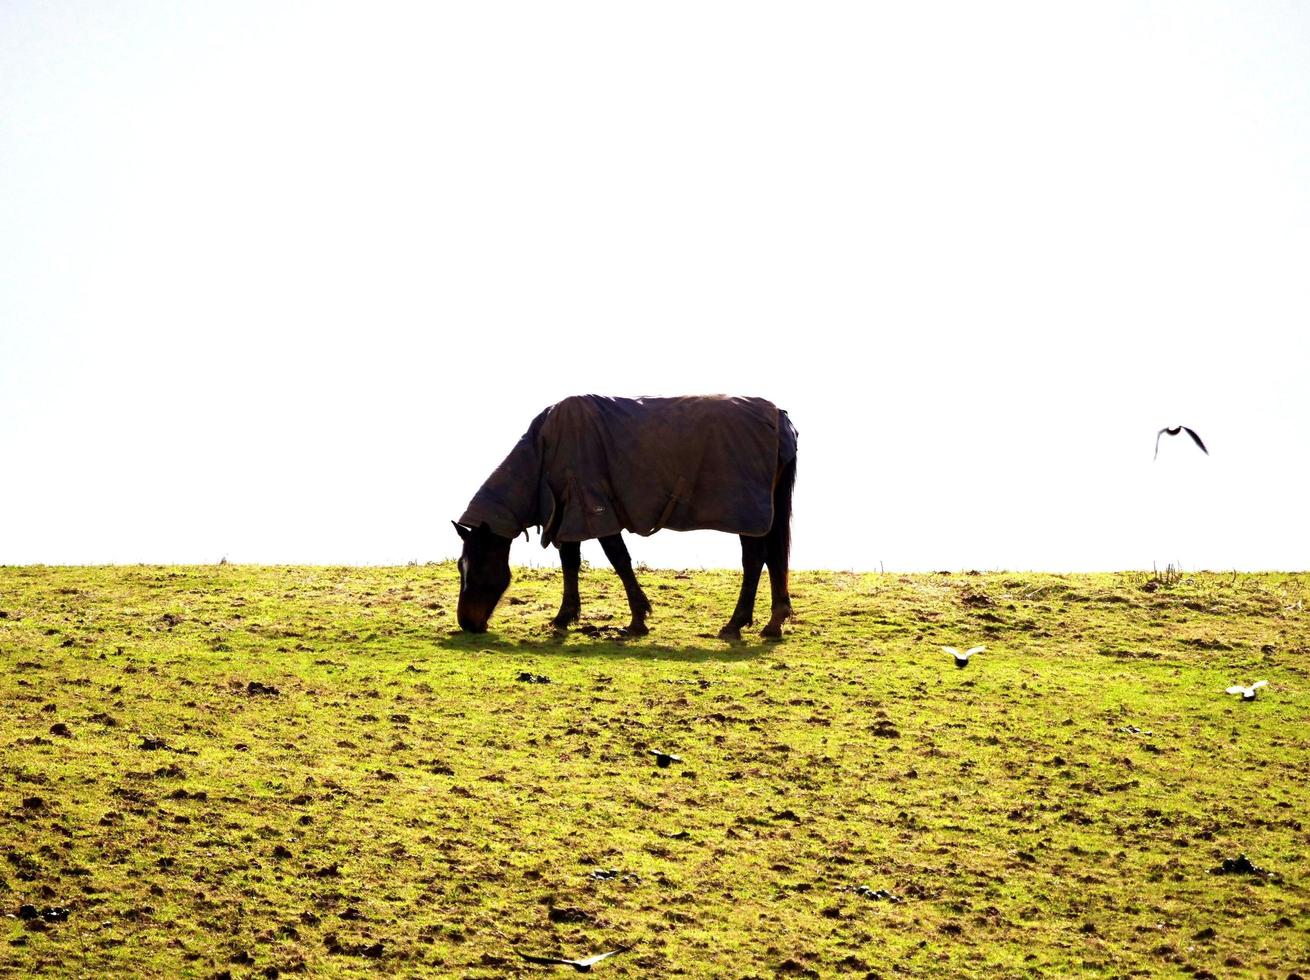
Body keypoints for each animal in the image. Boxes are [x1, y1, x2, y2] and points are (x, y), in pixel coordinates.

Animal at [450, 393, 796, 639]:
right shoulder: (570, 512)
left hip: (748, 516)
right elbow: (571, 563)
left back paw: (736, 623)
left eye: (477, 566)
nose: (467, 622)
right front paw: (565, 616)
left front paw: (638, 619)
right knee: (773, 558)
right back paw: (772, 623)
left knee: (755, 560)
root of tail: (780, 419)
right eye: (459, 566)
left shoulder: (592, 508)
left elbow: (618, 560)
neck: (543, 450)